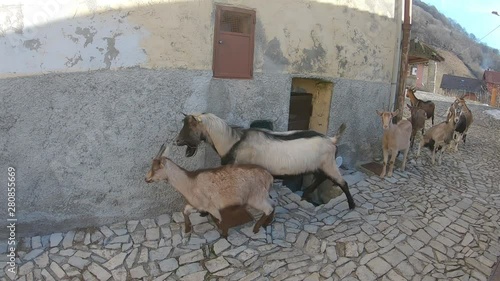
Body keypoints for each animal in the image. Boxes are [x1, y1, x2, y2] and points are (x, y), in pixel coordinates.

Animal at [146, 142, 274, 236]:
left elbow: (220, 220)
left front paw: (224, 235)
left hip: (255, 197)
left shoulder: (211, 206)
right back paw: (266, 223)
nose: (146, 179)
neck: (189, 183)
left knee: (268, 208)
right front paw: (187, 229)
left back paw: (256, 229)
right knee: (273, 205)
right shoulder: (196, 204)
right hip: (262, 195)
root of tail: (268, 176)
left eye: (155, 169)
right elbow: (185, 211)